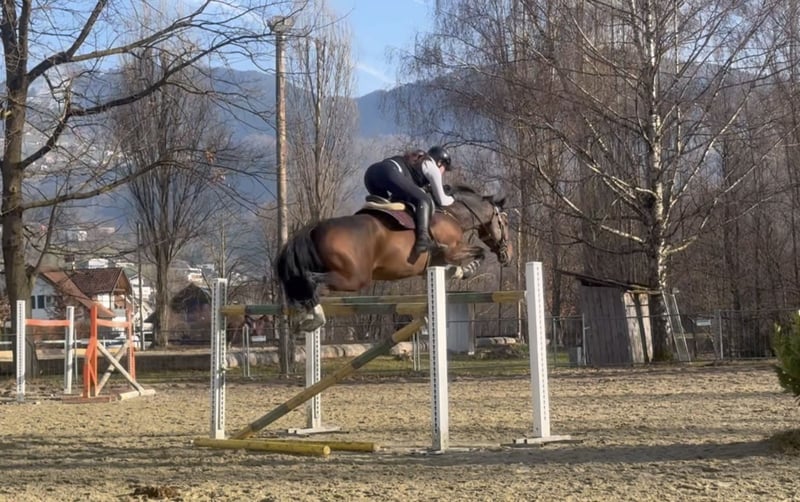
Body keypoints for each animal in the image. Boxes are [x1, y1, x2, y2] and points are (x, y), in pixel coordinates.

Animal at [274, 184, 512, 331]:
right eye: (505, 222)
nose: (508, 255)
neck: (451, 214)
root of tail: (315, 228)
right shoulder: (451, 250)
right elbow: (479, 253)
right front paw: (464, 271)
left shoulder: (436, 262)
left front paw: (455, 272)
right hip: (356, 277)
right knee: (313, 282)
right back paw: (314, 318)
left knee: (305, 285)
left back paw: (303, 319)